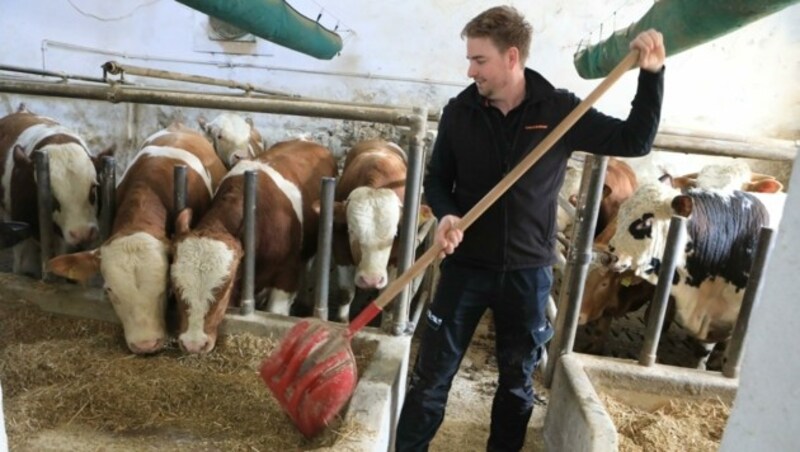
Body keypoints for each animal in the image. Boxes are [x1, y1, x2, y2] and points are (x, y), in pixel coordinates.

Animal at [322, 139, 432, 324]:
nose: (370, 280)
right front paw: (342, 322)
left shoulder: (397, 258)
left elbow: (387, 297)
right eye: (352, 231)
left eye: (395, 234)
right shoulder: (340, 246)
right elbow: (346, 293)